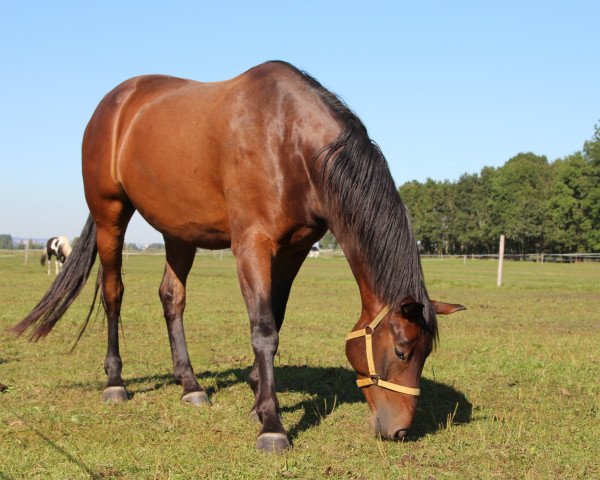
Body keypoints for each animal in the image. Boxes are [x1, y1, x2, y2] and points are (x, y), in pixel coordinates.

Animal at [12, 60, 464, 450]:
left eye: (426, 353)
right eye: (402, 350)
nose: (400, 431)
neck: (289, 140)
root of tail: (116, 102)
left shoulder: (295, 249)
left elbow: (275, 319)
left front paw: (256, 399)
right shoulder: (251, 245)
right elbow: (263, 329)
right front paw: (271, 424)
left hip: (179, 232)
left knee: (172, 297)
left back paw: (190, 386)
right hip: (111, 215)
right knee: (113, 293)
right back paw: (115, 383)